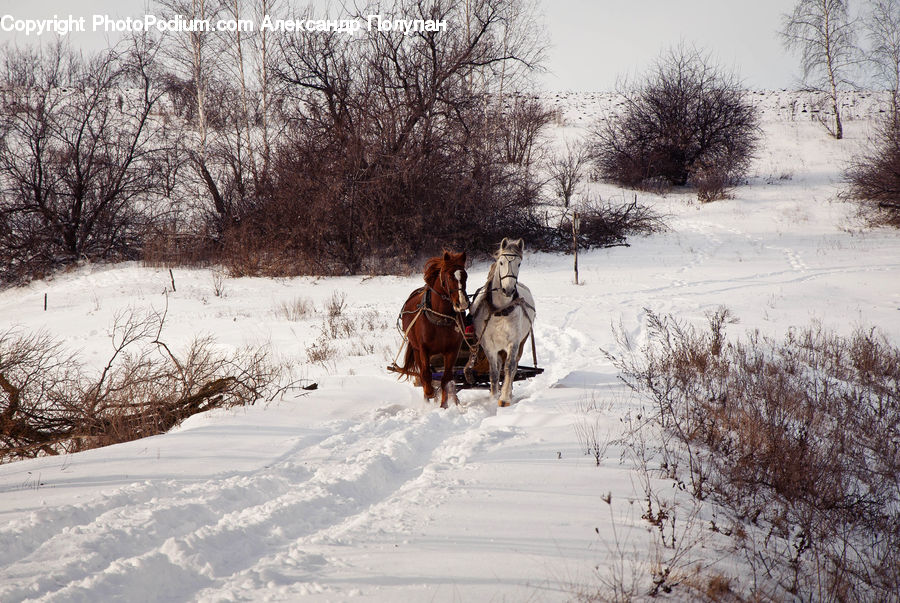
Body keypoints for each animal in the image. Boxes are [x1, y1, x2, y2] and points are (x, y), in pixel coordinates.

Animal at [400, 250, 472, 410]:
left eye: (465, 275)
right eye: (450, 276)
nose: (462, 303)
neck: (440, 316)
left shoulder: (452, 350)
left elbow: (446, 378)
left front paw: (444, 404)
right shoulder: (423, 349)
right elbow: (426, 374)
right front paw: (430, 393)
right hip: (416, 349)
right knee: (423, 373)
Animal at [472, 238, 536, 408]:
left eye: (519, 263)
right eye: (501, 262)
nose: (508, 290)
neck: (500, 309)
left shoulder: (513, 342)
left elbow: (510, 367)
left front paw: (505, 397)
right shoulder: (488, 344)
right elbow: (494, 372)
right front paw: (493, 397)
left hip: (522, 341)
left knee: (513, 366)